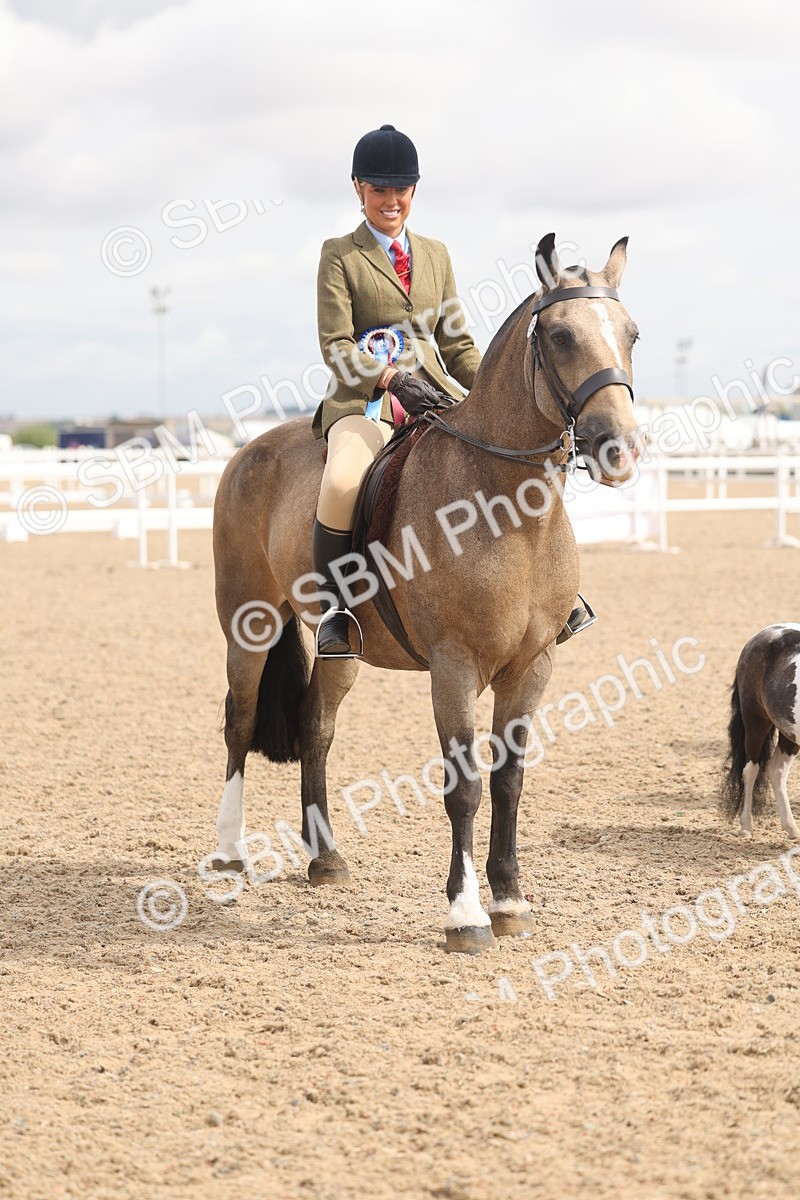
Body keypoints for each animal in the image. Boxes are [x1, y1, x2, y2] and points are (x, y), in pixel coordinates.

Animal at [211, 232, 641, 954]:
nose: (620, 449)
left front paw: (511, 900)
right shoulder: (454, 664)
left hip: (342, 649)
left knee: (316, 727)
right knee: (239, 724)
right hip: (250, 625)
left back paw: (325, 858)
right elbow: (463, 786)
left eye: (631, 333)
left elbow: (509, 780)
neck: (509, 511)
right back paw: (228, 855)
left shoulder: (533, 664)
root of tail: (249, 451)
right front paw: (465, 915)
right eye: (559, 335)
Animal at [721, 624, 800, 840]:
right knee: (750, 771)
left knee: (777, 770)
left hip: (789, 733)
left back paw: (791, 829)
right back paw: (746, 828)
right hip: (755, 723)